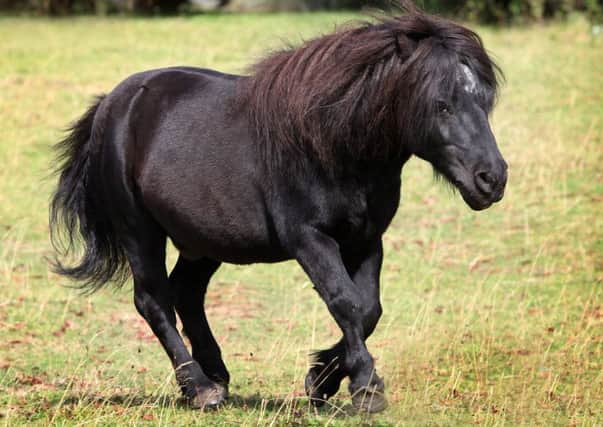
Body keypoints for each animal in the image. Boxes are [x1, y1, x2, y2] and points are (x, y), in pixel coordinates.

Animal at [49, 0, 508, 414]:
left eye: (485, 100)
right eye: (441, 104)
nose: (492, 179)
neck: (330, 144)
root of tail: (112, 104)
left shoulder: (366, 239)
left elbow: (369, 309)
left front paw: (321, 380)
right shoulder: (309, 239)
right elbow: (345, 302)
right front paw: (365, 389)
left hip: (203, 241)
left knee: (187, 293)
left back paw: (215, 375)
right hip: (139, 230)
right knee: (154, 301)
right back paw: (200, 388)